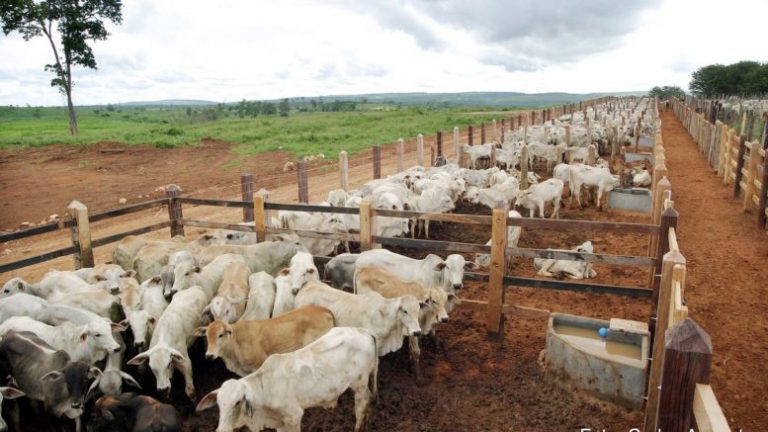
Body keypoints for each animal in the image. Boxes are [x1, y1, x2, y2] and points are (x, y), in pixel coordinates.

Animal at [198, 328, 378, 432]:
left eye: (237, 402)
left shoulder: (294, 416)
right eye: (219, 404)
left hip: (359, 384)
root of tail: (366, 332)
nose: (222, 429)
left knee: (361, 406)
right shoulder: (280, 423)